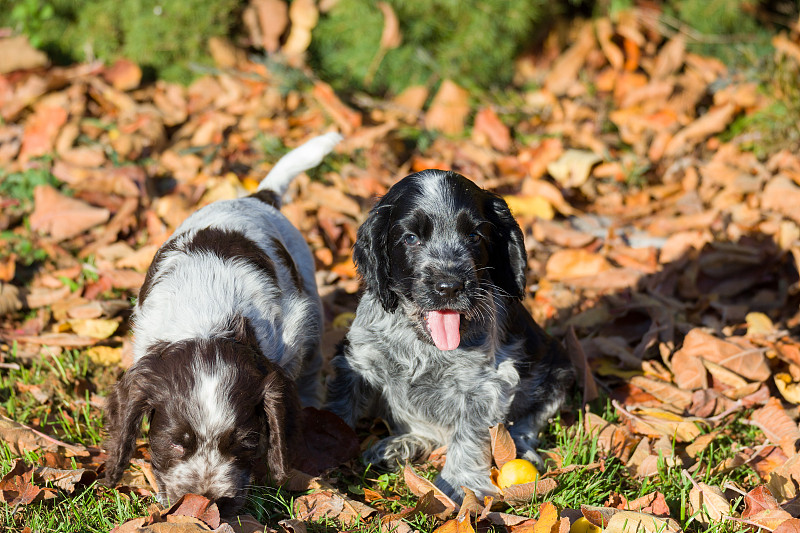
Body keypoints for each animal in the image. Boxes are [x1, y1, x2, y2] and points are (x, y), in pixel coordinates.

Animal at [103, 133, 340, 516]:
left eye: (245, 442)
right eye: (175, 443)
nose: (206, 503)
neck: (207, 324)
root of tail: (256, 197)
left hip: (311, 303)